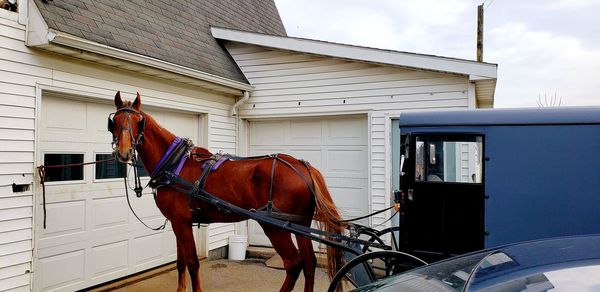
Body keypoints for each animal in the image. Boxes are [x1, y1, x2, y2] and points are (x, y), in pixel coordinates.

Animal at [109, 92, 344, 292]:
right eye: (115, 122)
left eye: (138, 122)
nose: (124, 152)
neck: (174, 164)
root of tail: (303, 166)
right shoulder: (179, 222)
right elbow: (180, 263)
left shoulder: (181, 222)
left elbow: (192, 263)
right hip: (300, 223)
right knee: (309, 262)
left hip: (274, 226)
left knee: (294, 263)